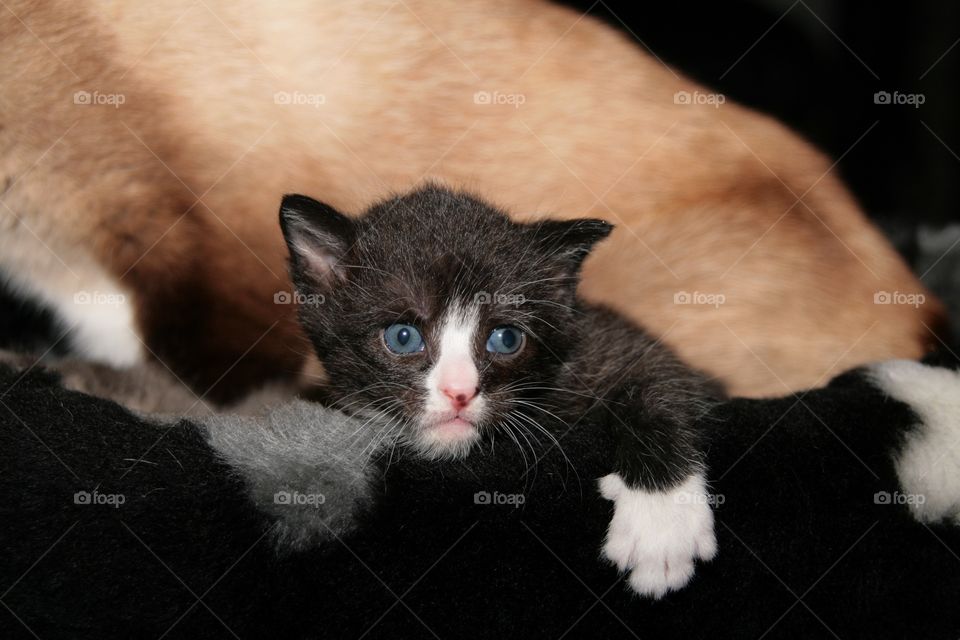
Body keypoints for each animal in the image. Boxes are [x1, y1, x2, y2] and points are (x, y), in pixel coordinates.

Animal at [280, 184, 720, 600]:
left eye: (506, 339)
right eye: (402, 337)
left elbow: (658, 380)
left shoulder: (609, 346)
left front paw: (661, 523)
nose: (459, 392)